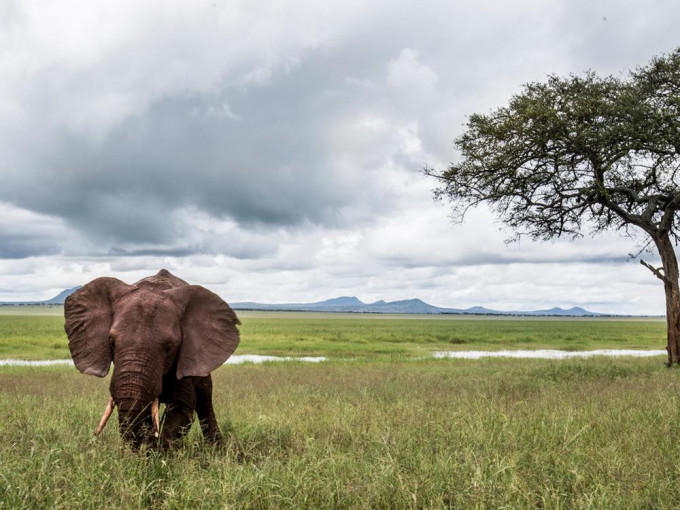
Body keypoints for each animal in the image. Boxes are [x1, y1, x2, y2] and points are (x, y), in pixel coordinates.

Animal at [63, 268, 239, 448]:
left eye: (170, 347)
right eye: (111, 342)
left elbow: (182, 409)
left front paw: (155, 450)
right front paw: (145, 449)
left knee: (205, 398)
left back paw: (216, 449)